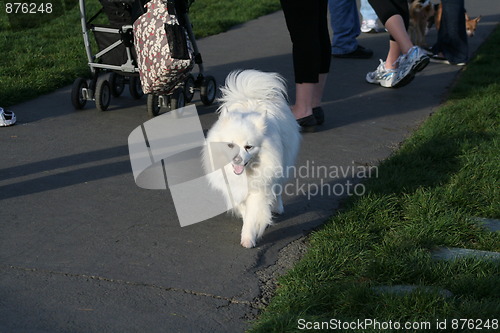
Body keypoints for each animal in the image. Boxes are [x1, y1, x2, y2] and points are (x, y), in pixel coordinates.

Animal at [203, 69, 300, 246]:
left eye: (248, 147)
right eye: (230, 145)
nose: (236, 160)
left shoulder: (260, 187)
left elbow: (253, 212)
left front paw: (248, 237)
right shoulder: (234, 188)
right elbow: (243, 207)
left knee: (278, 188)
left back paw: (278, 207)